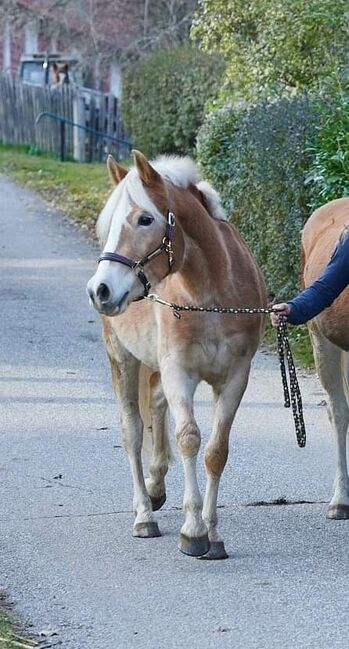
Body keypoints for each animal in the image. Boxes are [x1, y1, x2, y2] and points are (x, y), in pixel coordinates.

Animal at [86, 151, 264, 556]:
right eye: (108, 223)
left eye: (145, 219)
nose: (100, 290)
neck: (211, 299)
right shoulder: (179, 372)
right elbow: (189, 439)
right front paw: (193, 530)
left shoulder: (234, 379)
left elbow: (216, 451)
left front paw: (213, 535)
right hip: (122, 358)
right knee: (133, 431)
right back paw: (143, 515)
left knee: (155, 402)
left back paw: (155, 487)